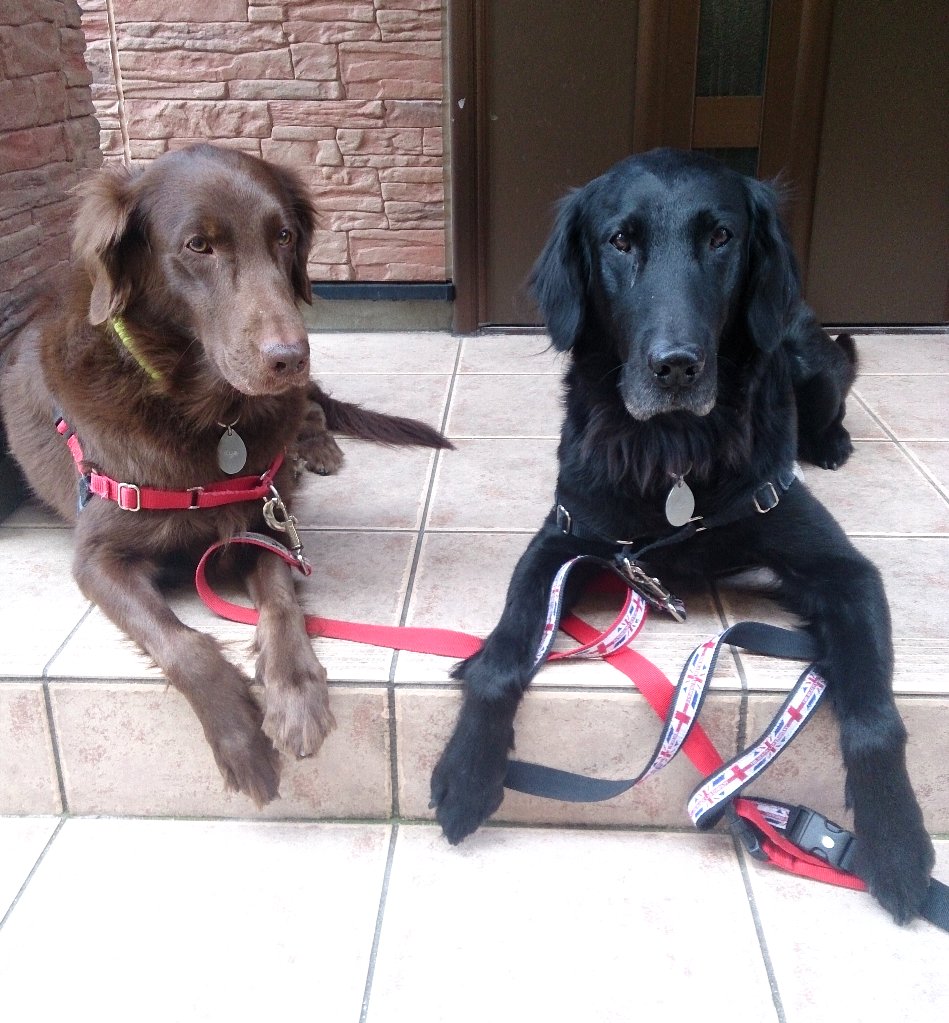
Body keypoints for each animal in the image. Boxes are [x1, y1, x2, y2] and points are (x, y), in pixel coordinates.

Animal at [0, 144, 450, 805]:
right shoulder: (97, 556)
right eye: (198, 246)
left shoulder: (265, 520)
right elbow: (182, 642)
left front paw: (295, 695)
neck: (208, 417)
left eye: (284, 236)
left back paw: (315, 450)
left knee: (311, 410)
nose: (291, 357)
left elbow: (282, 603)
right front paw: (240, 739)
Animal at [430, 148, 934, 923]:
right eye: (619, 241)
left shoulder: (842, 568)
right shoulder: (563, 538)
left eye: (721, 237)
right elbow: (502, 657)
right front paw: (465, 769)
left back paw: (831, 442)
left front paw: (896, 840)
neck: (671, 450)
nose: (676, 366)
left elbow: (876, 716)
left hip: (812, 362)